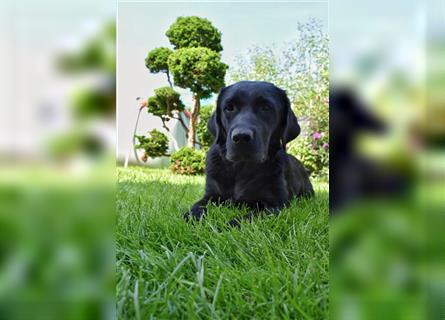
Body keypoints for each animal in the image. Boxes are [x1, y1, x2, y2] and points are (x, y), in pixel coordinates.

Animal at [181, 80, 312, 225]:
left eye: (266, 107)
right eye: (229, 108)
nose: (241, 136)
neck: (241, 167)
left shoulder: (276, 205)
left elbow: (244, 219)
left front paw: (221, 227)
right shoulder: (211, 195)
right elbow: (195, 208)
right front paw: (190, 217)